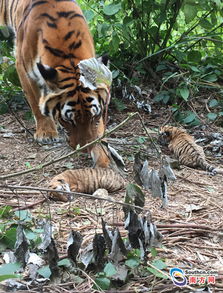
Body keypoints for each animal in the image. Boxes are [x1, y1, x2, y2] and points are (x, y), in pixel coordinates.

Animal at [0, 0, 111, 167]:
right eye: (67, 121)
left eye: (93, 117)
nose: (84, 150)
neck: (68, 54)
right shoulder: (23, 68)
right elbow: (36, 103)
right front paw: (46, 133)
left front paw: (103, 159)